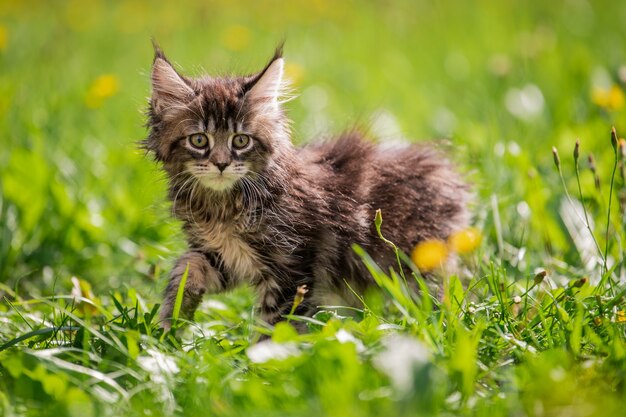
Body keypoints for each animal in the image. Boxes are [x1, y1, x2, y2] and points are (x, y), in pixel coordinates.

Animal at [145, 44, 468, 330]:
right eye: (199, 140)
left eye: (241, 140)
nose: (221, 164)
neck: (223, 205)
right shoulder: (226, 256)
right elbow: (186, 265)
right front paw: (170, 320)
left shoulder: (294, 266)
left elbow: (275, 326)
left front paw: (261, 359)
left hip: (417, 262)